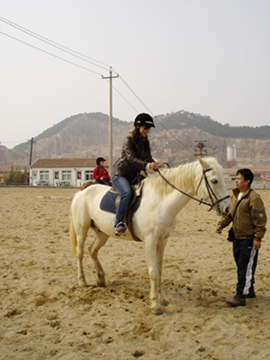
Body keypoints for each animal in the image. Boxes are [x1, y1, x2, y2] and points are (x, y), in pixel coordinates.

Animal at [70, 158, 232, 316]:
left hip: (102, 233)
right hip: (81, 229)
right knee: (80, 253)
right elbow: (153, 272)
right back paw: (82, 281)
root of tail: (82, 193)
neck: (160, 201)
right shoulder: (150, 241)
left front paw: (162, 299)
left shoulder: (162, 241)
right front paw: (155, 305)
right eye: (214, 180)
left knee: (92, 250)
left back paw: (101, 279)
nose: (228, 208)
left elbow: (159, 271)